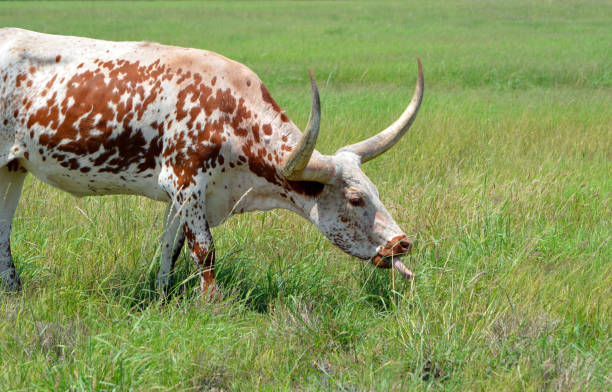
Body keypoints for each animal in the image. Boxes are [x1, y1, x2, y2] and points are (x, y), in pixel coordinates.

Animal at [0, 28, 424, 294]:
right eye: (355, 199)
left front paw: (161, 298)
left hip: (13, 168)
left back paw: (14, 290)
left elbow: (169, 249)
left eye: (375, 190)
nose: (402, 243)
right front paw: (212, 304)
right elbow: (204, 250)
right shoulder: (185, 183)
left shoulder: (183, 196)